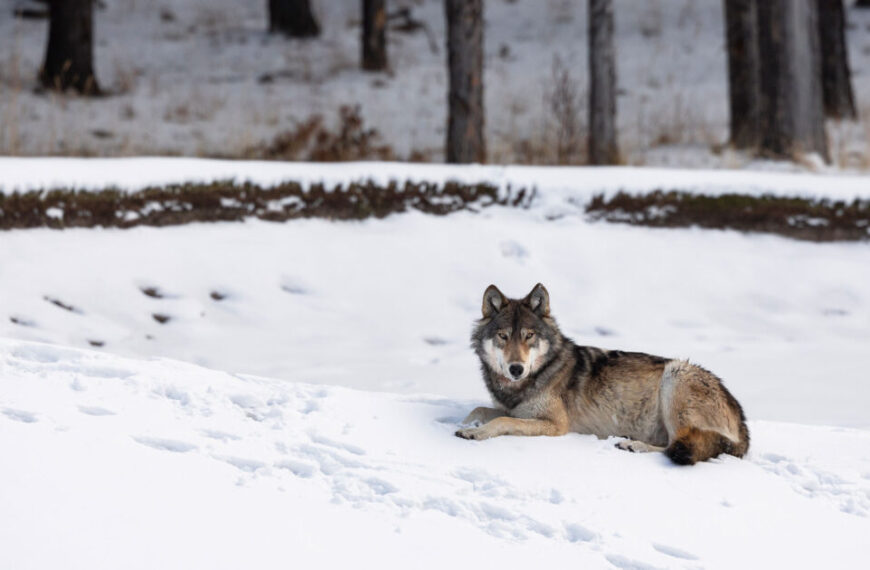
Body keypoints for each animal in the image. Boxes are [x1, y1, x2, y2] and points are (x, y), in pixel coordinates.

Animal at [455, 284, 750, 465]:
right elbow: (480, 411)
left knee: (675, 446)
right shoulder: (514, 409)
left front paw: (474, 433)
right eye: (503, 336)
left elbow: (501, 420)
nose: (516, 368)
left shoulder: (555, 424)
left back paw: (633, 446)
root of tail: (743, 423)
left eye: (529, 336)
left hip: (675, 375)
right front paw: (467, 424)